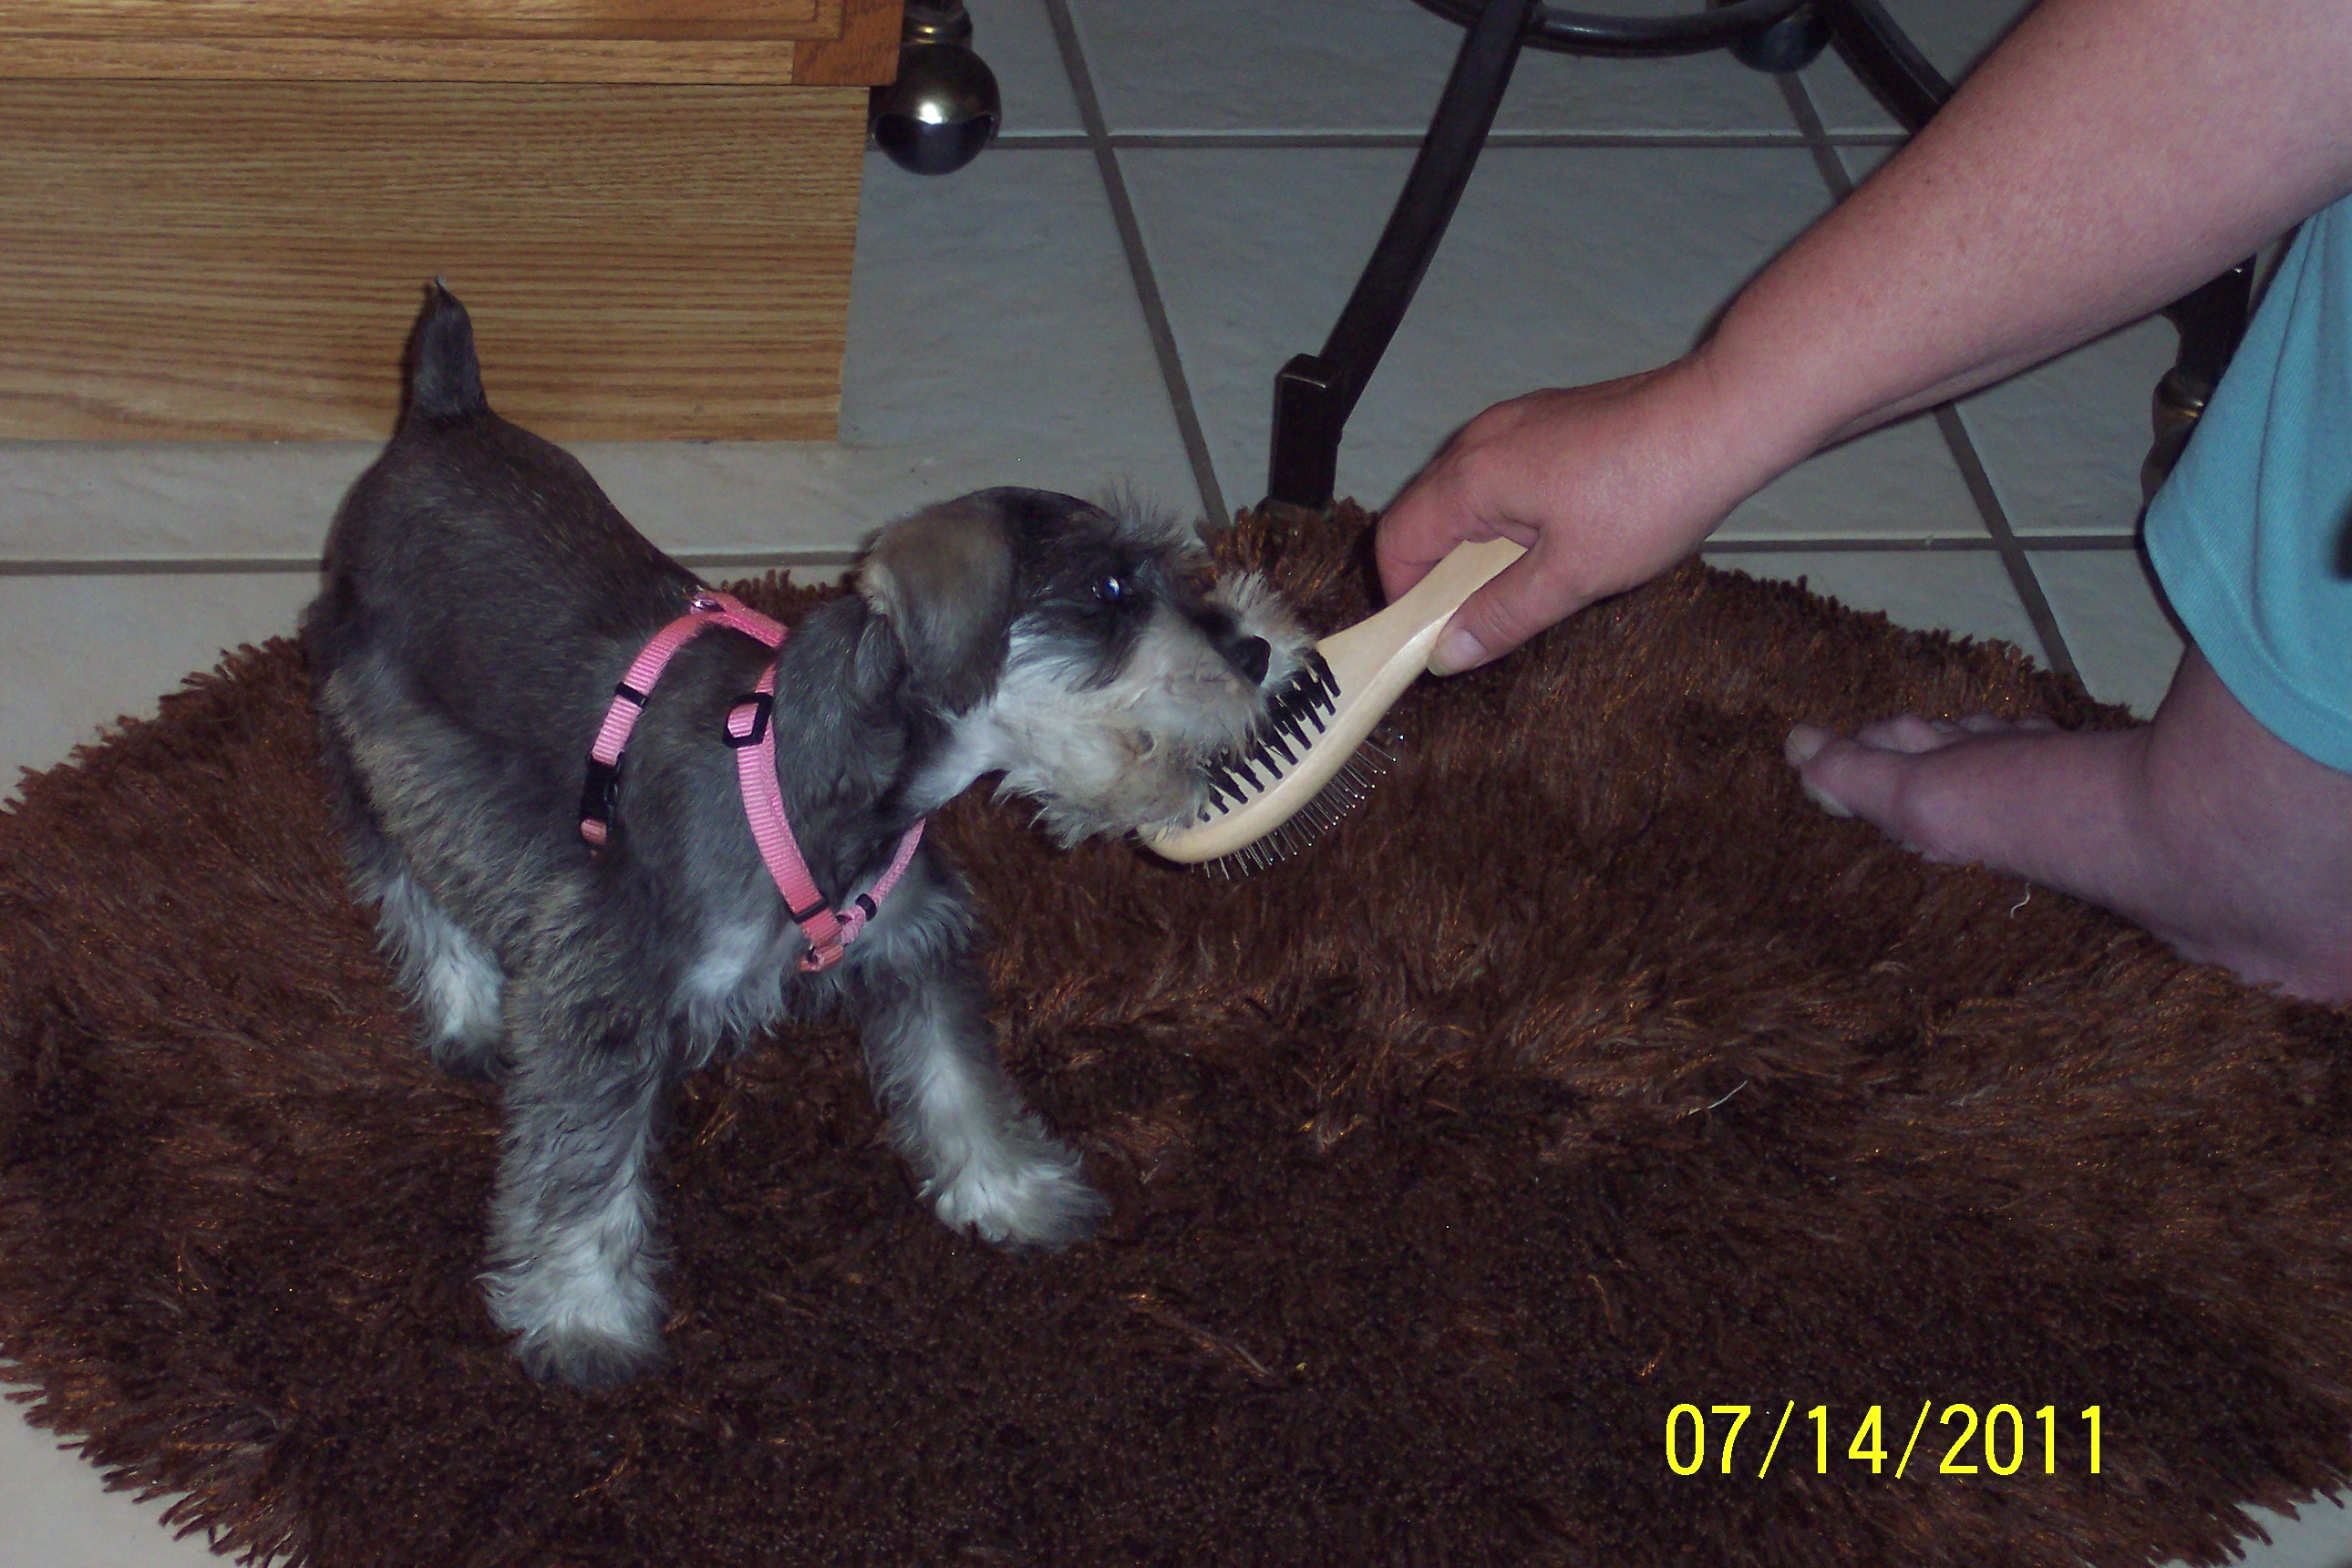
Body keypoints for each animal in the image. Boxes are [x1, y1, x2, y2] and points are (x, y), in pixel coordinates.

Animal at [298, 287, 1307, 1391]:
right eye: (1112, 592)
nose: (1261, 649)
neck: (810, 774)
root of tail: (444, 416)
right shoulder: (606, 993)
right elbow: (583, 1166)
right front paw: (581, 1317)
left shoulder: (917, 943)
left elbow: (960, 1083)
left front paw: (1014, 1194)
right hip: (383, 740)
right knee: (412, 880)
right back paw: (467, 1013)